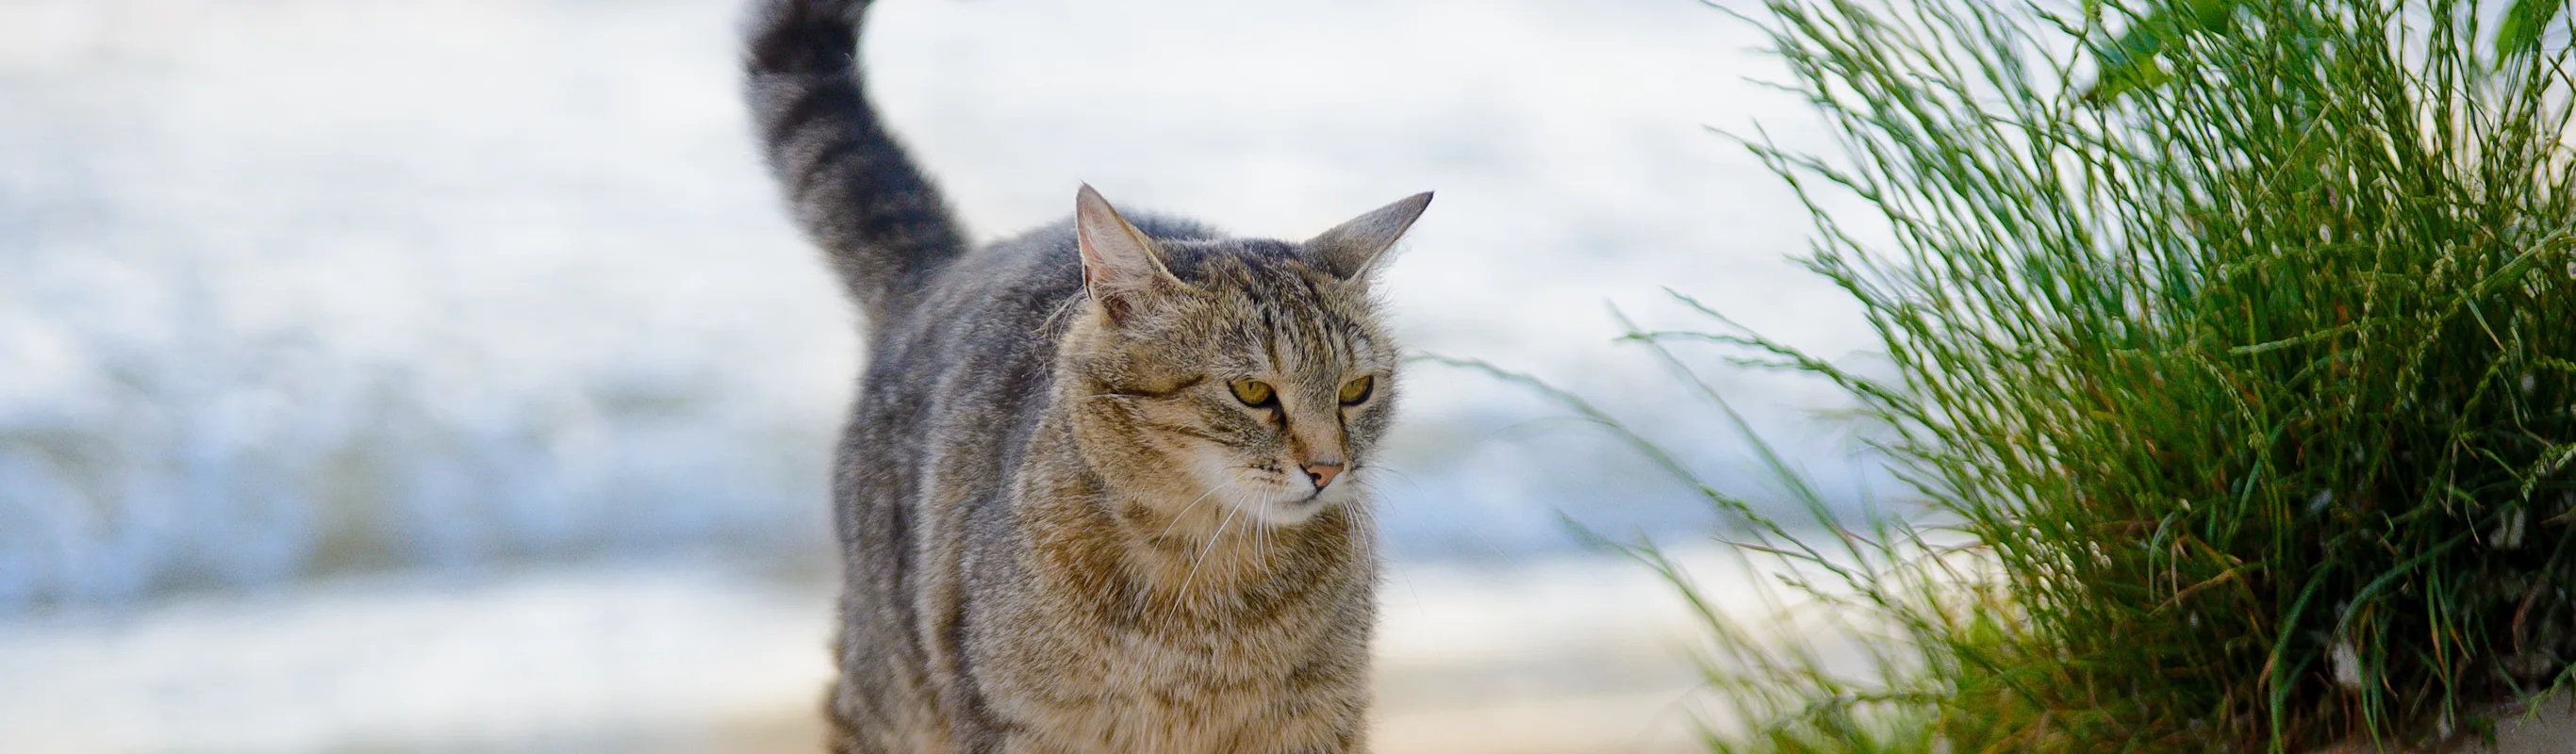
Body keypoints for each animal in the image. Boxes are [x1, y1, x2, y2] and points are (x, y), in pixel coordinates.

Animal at [741, 3, 1431, 746]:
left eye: (1356, 390)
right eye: (1252, 391)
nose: (1328, 468)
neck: (1206, 575)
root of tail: (947, 269)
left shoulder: (1318, 722)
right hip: (888, 690)